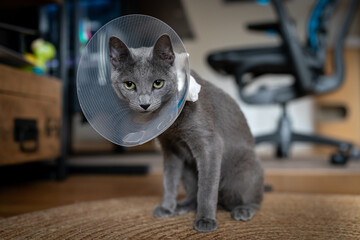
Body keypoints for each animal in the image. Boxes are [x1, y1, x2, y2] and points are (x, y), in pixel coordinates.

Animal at [108, 34, 262, 232]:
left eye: (158, 83)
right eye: (129, 85)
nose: (144, 104)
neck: (173, 126)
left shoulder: (210, 144)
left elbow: (207, 188)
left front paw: (205, 220)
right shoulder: (170, 148)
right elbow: (169, 180)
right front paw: (167, 208)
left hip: (244, 170)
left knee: (253, 197)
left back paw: (243, 210)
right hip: (188, 171)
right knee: (194, 193)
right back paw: (181, 206)